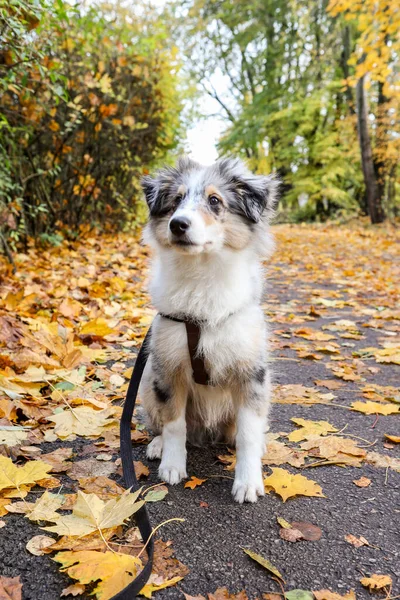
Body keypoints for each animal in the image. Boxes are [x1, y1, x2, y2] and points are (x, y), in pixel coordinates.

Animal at [139, 156, 280, 502]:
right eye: (176, 200)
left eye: (215, 201)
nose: (178, 224)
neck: (201, 277)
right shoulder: (168, 365)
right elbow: (174, 423)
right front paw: (172, 464)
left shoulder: (252, 372)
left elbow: (248, 434)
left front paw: (248, 481)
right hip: (148, 382)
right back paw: (158, 444)